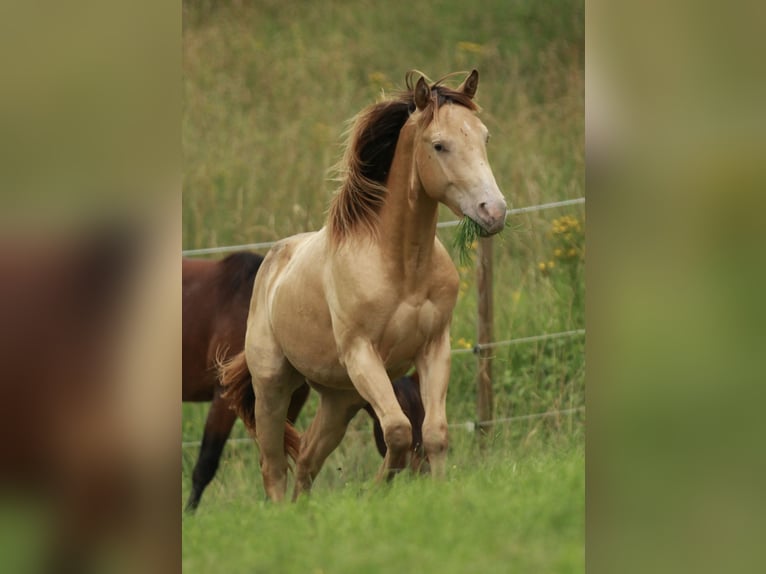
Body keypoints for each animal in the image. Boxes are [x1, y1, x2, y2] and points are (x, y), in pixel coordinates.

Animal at [184, 254, 428, 510]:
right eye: (408, 414)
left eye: (422, 414)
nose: (423, 474)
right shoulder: (223, 396)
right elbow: (206, 463)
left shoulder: (293, 396)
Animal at [222, 71, 508, 504]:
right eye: (439, 145)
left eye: (485, 137)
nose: (494, 212)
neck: (401, 266)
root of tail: (272, 264)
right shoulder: (362, 353)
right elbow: (399, 431)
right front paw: (378, 491)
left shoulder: (434, 347)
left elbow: (434, 434)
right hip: (273, 387)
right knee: (273, 466)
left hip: (340, 398)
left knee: (307, 458)